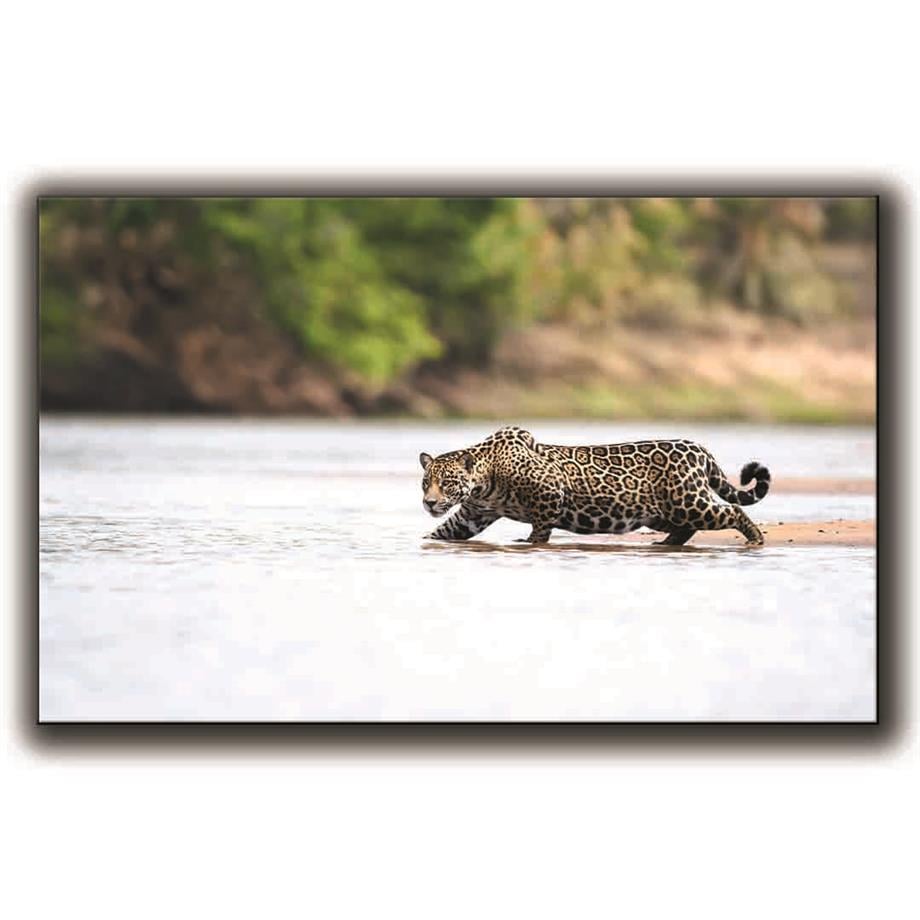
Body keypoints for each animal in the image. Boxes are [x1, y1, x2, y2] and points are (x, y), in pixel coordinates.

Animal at [419, 425, 771, 547]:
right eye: (426, 483)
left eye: (447, 482)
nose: (429, 503)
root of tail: (698, 448)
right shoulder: (473, 514)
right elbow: (446, 530)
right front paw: (425, 539)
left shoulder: (550, 491)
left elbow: (541, 527)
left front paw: (529, 542)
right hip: (662, 511)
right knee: (687, 527)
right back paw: (667, 543)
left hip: (688, 503)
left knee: (732, 510)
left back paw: (755, 538)